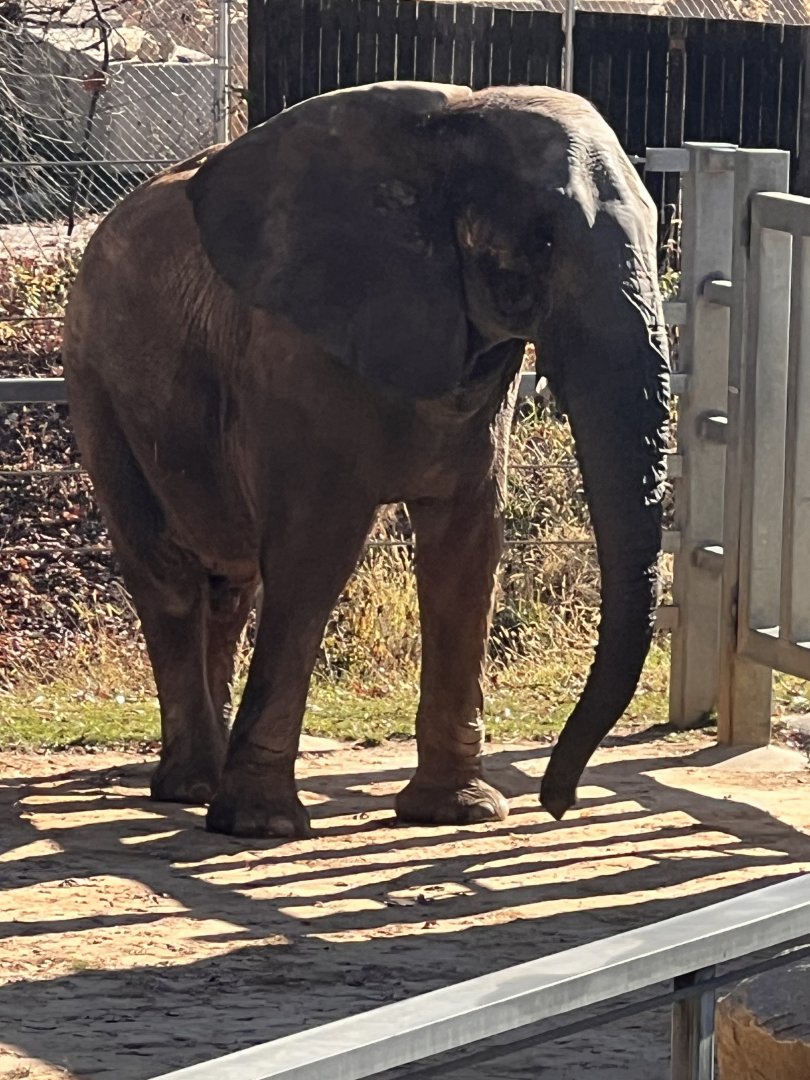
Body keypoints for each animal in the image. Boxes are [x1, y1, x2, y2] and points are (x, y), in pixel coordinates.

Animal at [62, 81, 670, 839]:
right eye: (544, 238)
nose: (559, 804)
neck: (450, 128)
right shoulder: (296, 350)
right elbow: (315, 551)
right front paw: (261, 826)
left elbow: (468, 548)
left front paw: (459, 813)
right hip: (95, 381)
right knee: (168, 572)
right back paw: (192, 785)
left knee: (229, 581)